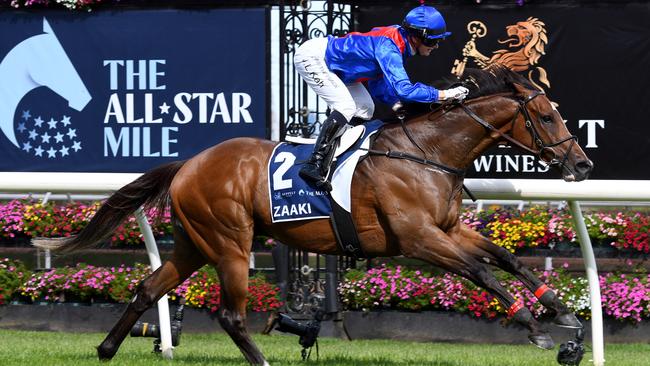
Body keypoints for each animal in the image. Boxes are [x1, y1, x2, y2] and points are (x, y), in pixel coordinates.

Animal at [35, 65, 592, 364]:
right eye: (547, 116)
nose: (583, 165)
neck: (426, 153)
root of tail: (189, 164)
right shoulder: (418, 238)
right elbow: (481, 272)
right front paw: (534, 326)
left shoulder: (447, 228)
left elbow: (505, 259)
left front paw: (562, 312)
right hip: (229, 241)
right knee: (230, 314)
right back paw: (260, 359)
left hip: (195, 243)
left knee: (148, 289)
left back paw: (107, 348)